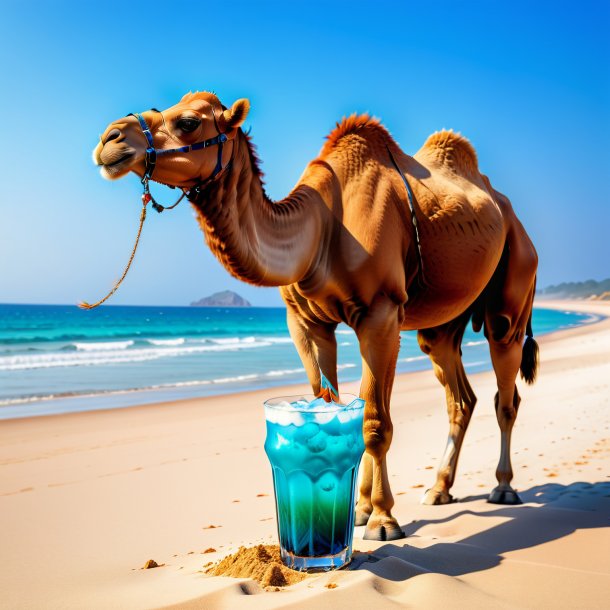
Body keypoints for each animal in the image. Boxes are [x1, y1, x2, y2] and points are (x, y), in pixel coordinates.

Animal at [91, 90, 536, 536]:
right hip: (443, 320)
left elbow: (375, 422)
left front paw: (383, 519)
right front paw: (354, 512)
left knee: (506, 388)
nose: (109, 139)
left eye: (187, 122)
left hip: (515, 283)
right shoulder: (307, 323)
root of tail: (510, 213)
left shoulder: (381, 313)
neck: (321, 226)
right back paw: (439, 489)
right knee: (458, 393)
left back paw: (503, 488)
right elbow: (335, 407)